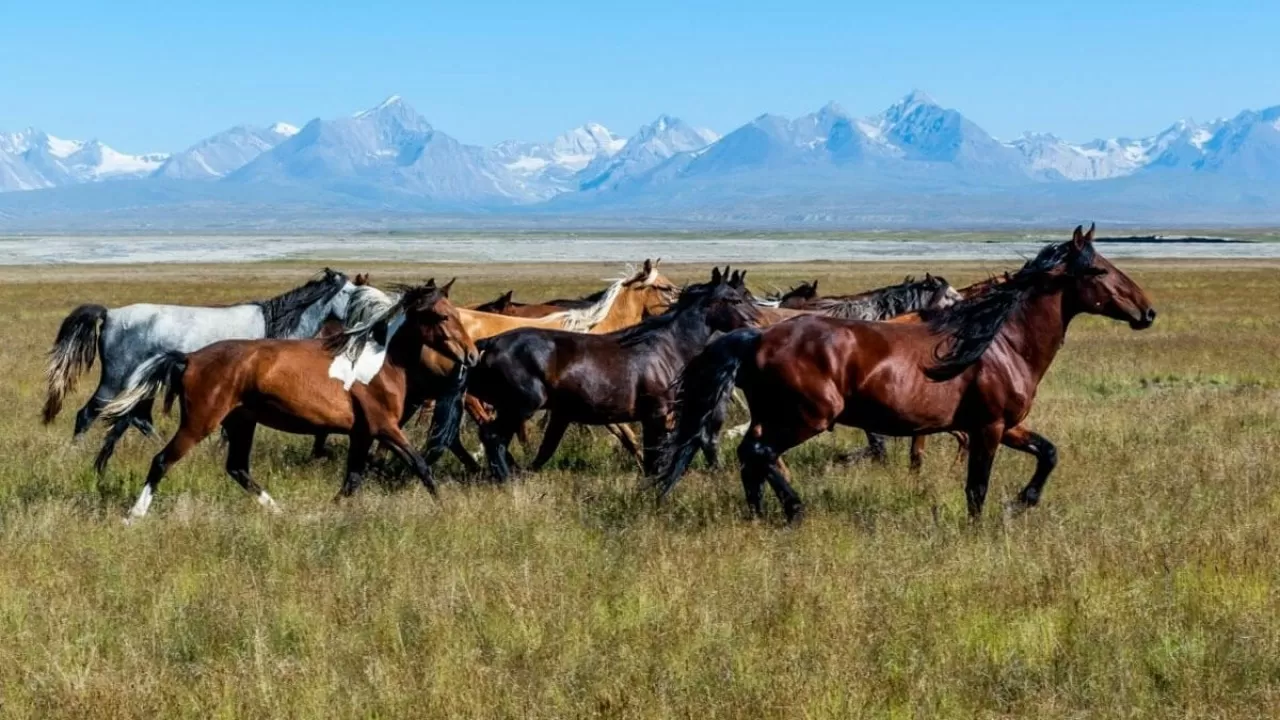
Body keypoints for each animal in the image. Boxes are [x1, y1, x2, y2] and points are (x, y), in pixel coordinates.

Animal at [43, 266, 360, 474]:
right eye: (349, 292)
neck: (274, 326)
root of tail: (110, 315)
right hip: (115, 381)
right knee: (88, 415)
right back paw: (73, 455)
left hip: (140, 386)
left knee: (136, 419)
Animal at [94, 278, 476, 517]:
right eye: (443, 315)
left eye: (458, 314)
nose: (472, 356)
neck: (379, 363)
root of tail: (190, 358)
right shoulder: (385, 428)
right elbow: (421, 466)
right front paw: (445, 508)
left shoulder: (362, 433)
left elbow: (353, 479)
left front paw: (328, 511)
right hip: (200, 422)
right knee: (162, 460)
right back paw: (134, 516)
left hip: (241, 421)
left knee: (237, 468)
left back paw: (278, 511)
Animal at [453, 266, 757, 479]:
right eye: (733, 299)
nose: (756, 325)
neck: (665, 346)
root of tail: (487, 344)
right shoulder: (656, 414)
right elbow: (650, 453)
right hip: (519, 406)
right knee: (492, 436)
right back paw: (506, 478)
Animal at [655, 226, 1157, 525]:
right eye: (1099, 270)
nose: (1147, 312)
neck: (1000, 343)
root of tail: (757, 337)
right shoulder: (988, 427)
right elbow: (977, 486)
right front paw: (982, 526)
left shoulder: (1007, 426)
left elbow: (1048, 453)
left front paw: (1022, 502)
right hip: (807, 417)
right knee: (760, 453)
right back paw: (795, 511)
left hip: (771, 415)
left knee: (750, 456)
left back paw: (759, 515)